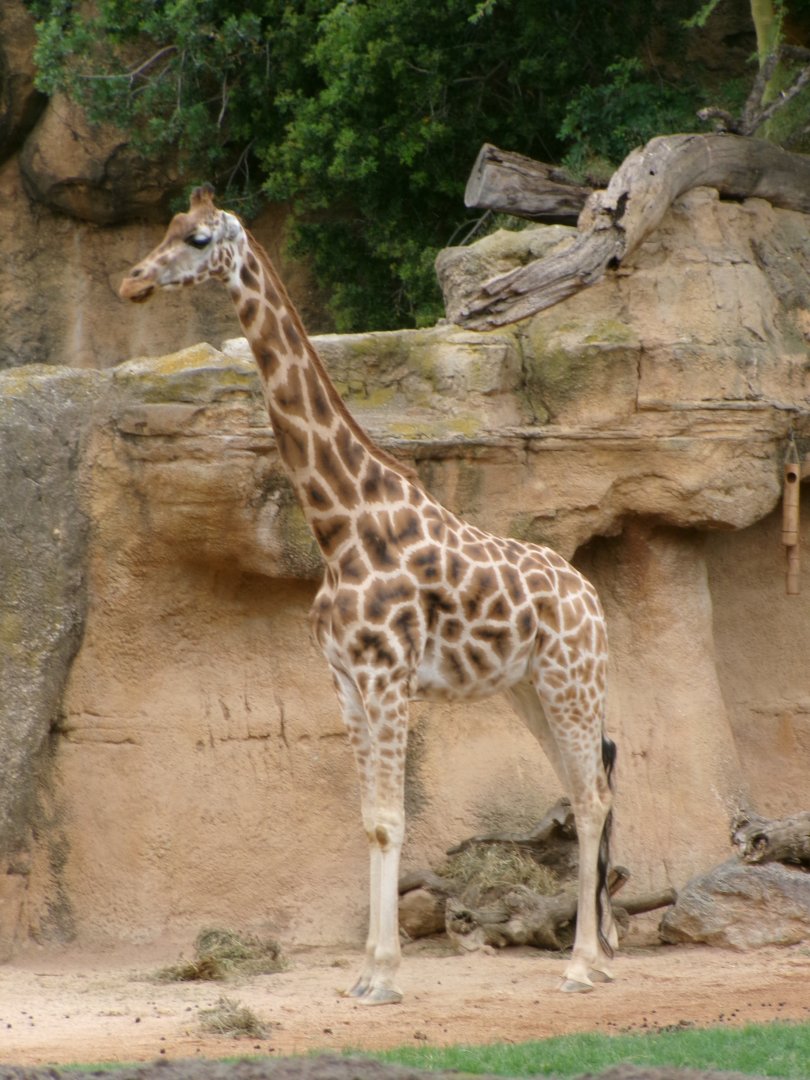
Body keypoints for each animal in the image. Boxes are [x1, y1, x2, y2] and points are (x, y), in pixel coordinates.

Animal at [119, 185, 617, 1004]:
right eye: (164, 227)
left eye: (196, 240)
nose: (131, 283)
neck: (340, 523)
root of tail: (593, 599)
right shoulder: (345, 681)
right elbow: (368, 820)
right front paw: (365, 972)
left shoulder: (387, 674)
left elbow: (389, 817)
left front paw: (383, 976)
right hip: (529, 689)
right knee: (583, 794)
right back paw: (602, 957)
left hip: (572, 680)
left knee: (595, 796)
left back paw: (581, 965)